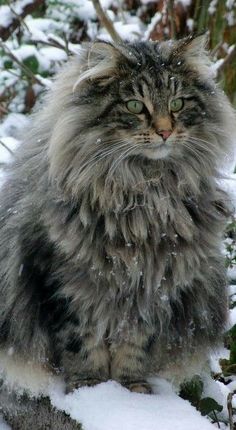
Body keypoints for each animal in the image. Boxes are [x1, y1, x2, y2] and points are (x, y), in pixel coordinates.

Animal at [0, 34, 236, 396]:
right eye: (136, 106)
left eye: (178, 103)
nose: (165, 131)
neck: (144, 193)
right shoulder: (66, 283)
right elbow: (82, 343)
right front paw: (91, 389)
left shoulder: (155, 283)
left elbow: (134, 345)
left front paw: (130, 390)